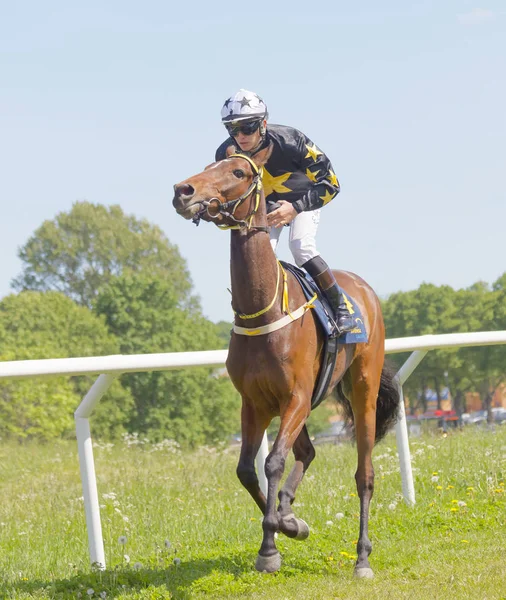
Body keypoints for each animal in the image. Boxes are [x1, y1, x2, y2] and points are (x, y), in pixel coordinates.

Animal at [174, 143, 400, 580]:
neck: (262, 312)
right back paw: (290, 512)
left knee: (364, 474)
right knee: (307, 453)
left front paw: (269, 548)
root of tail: (364, 289)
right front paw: (287, 523)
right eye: (210, 164)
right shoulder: (256, 403)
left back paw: (362, 557)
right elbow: (248, 470)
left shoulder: (295, 396)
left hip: (361, 388)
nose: (183, 190)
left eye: (239, 172)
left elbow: (274, 461)